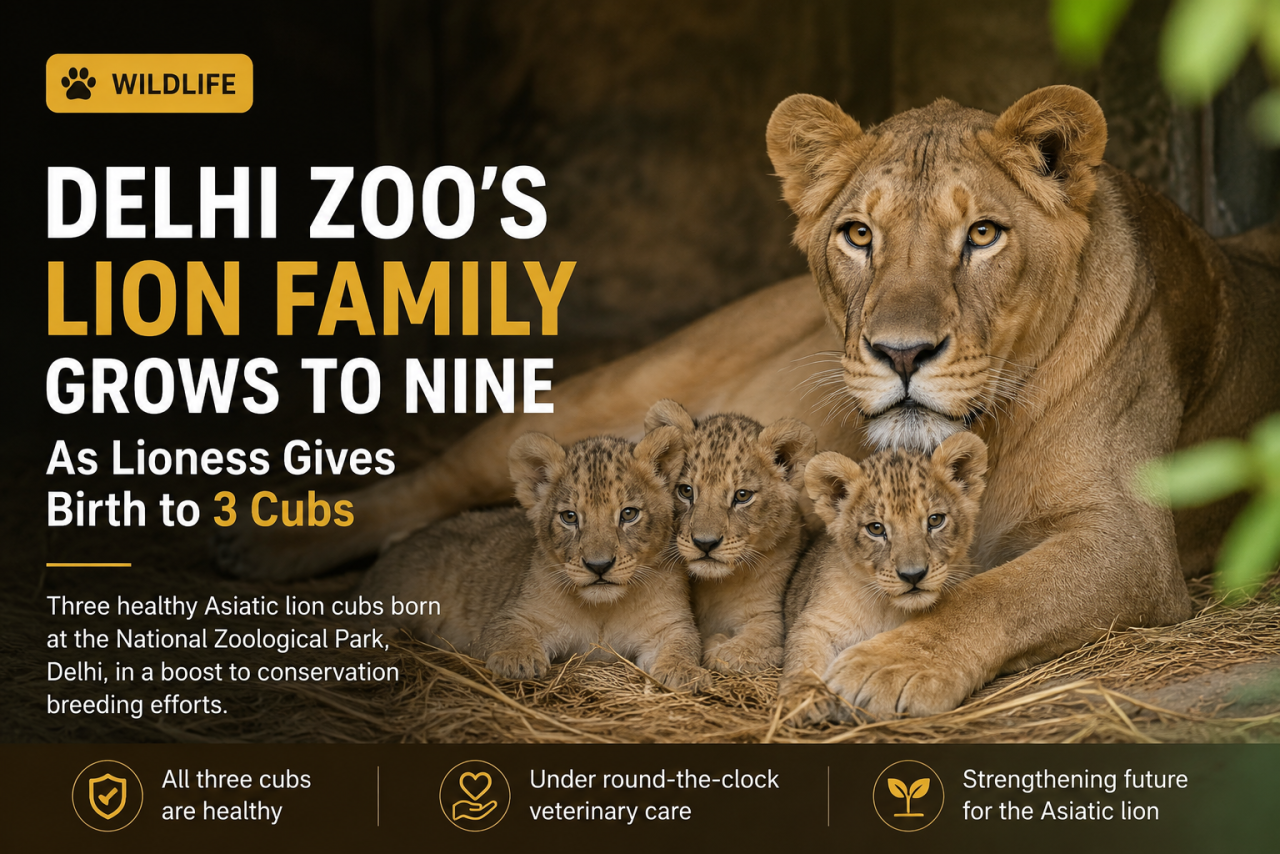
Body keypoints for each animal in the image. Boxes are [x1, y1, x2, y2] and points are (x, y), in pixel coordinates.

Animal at [360, 428, 710, 692]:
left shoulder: (669, 624)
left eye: (628, 514)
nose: (598, 566)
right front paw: (517, 660)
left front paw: (681, 671)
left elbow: (684, 644)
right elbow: (507, 633)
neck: (603, 609)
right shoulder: (515, 614)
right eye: (570, 517)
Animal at [643, 399, 815, 672]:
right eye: (685, 491)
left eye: (742, 496)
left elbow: (740, 649)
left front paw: (719, 646)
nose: (705, 543)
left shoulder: (770, 617)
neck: (718, 586)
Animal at [781, 433, 986, 723]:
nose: (913, 575)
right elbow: (803, 654)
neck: (887, 609)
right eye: (876, 529)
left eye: (935, 520)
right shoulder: (816, 622)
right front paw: (803, 698)